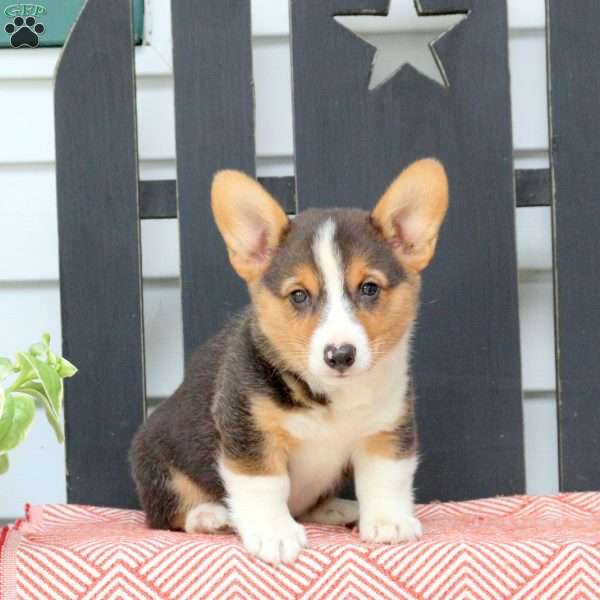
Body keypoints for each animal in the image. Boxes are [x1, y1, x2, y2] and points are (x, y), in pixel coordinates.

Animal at [132, 158, 450, 564]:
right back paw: (211, 516)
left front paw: (388, 521)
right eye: (299, 295)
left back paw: (339, 508)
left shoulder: (387, 426)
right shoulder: (248, 430)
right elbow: (264, 485)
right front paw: (274, 534)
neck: (331, 394)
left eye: (369, 288)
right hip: (156, 459)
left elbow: (386, 477)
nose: (340, 355)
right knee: (168, 513)